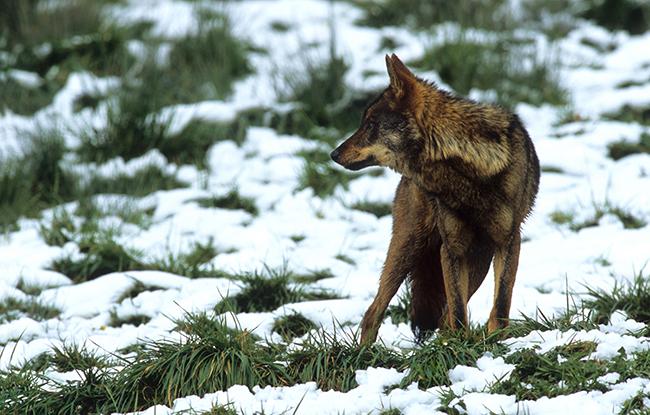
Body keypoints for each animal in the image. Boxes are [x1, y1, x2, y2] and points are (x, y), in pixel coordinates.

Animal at [330, 53, 536, 344]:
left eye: (370, 125)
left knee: (443, 317)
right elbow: (459, 314)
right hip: (408, 247)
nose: (334, 154)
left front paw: (496, 342)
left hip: (478, 263)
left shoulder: (508, 242)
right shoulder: (451, 249)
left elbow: (500, 304)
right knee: (374, 312)